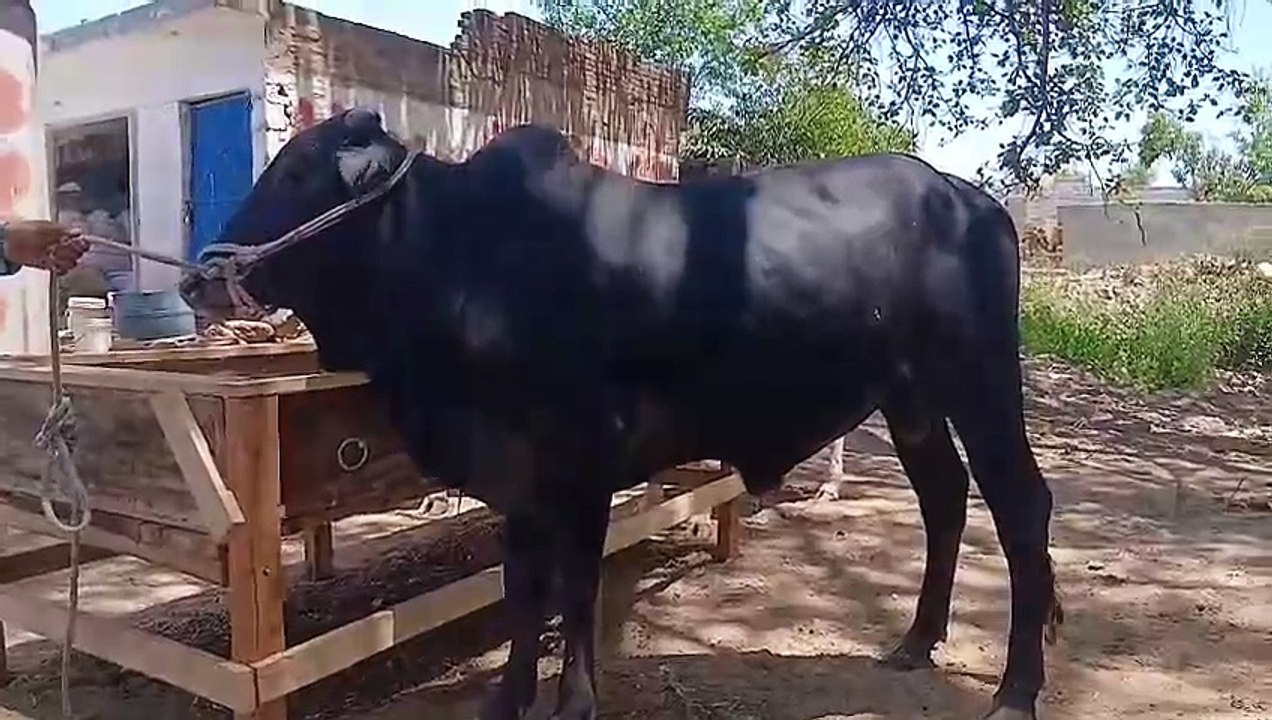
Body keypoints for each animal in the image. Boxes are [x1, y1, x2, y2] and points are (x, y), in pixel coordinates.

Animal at [179, 107, 1064, 720]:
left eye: (299, 174)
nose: (196, 278)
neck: (462, 255)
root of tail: (971, 200)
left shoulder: (583, 461)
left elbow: (575, 585)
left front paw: (574, 700)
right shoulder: (517, 475)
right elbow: (523, 586)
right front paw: (508, 697)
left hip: (979, 380)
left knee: (1021, 507)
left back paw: (1016, 689)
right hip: (911, 400)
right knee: (946, 499)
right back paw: (916, 641)